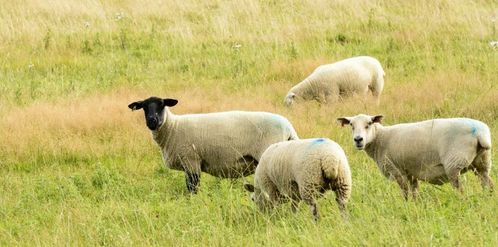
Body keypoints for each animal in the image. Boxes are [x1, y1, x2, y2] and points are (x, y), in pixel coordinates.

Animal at [129, 96, 300, 193]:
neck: (173, 127)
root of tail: (288, 126)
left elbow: (192, 187)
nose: (152, 121)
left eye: (162, 105)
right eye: (144, 107)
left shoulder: (191, 160)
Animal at [336, 113, 492, 199]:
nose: (358, 139)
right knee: (488, 184)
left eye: (369, 123)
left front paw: (406, 205)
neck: (380, 138)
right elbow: (414, 191)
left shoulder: (397, 170)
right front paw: (415, 205)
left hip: (454, 164)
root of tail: (480, 133)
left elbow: (405, 192)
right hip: (482, 162)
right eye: (351, 125)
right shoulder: (411, 172)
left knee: (460, 190)